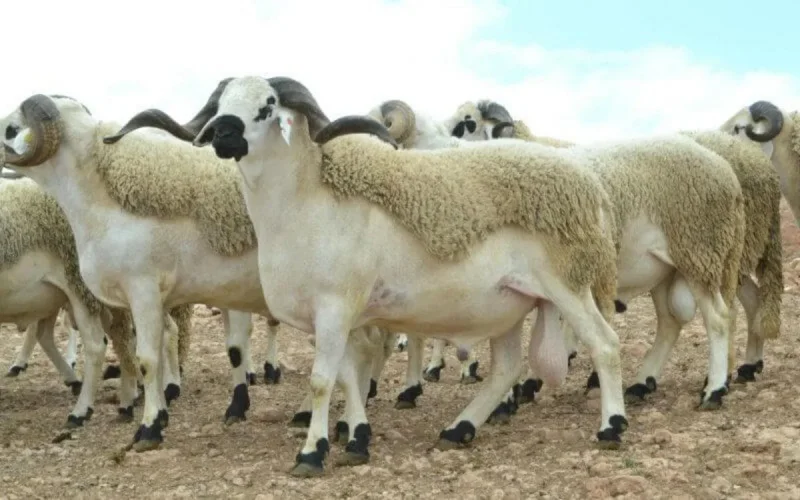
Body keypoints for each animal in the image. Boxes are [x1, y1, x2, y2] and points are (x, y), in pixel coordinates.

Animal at [0, 92, 389, 454]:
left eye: (11, 129)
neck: (103, 195)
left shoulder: (141, 289)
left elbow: (146, 358)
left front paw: (147, 429)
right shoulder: (154, 298)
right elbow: (160, 353)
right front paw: (160, 413)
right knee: (361, 351)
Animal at [105, 74, 632, 477]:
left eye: (268, 105)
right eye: (221, 104)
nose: (223, 134)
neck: (305, 201)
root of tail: (590, 186)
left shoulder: (335, 305)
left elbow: (322, 380)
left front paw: (312, 452)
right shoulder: (340, 315)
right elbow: (347, 378)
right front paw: (355, 439)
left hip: (569, 283)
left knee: (605, 345)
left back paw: (611, 426)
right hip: (506, 303)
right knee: (506, 368)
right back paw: (459, 428)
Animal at [373, 98, 747, 417]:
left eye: (467, 123)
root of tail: (725, 170)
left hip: (698, 251)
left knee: (718, 319)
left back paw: (714, 389)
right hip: (666, 268)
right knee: (671, 324)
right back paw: (642, 384)